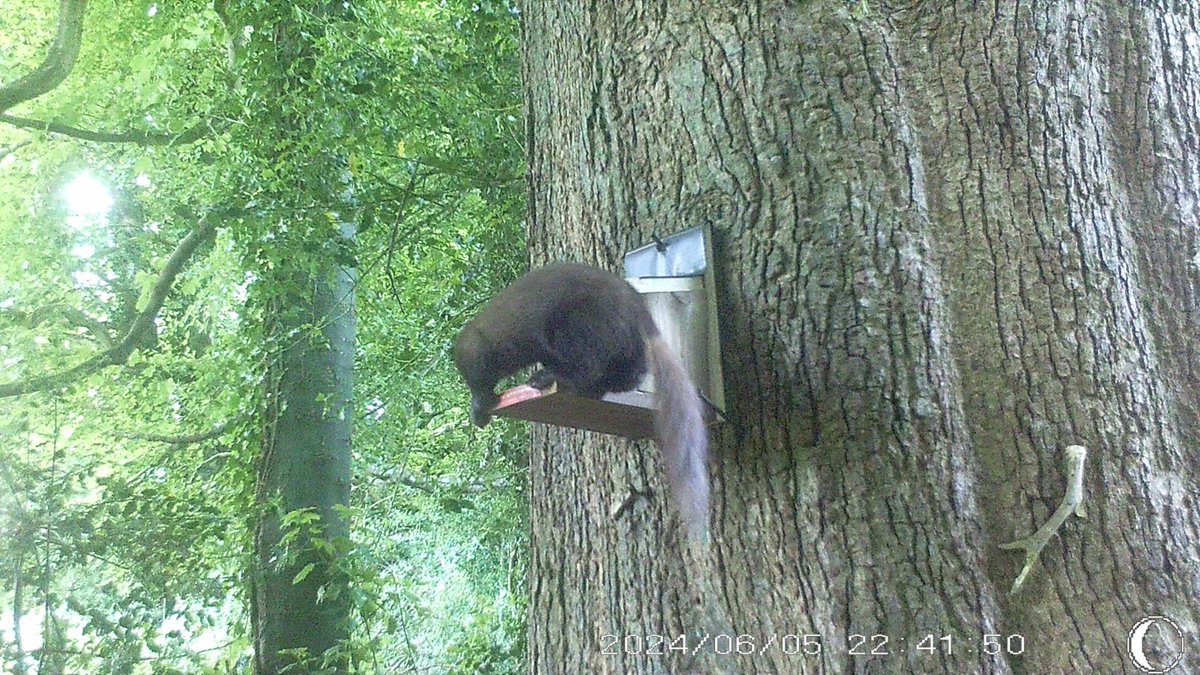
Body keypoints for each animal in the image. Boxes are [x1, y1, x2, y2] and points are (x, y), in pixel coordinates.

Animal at [453, 262, 709, 542]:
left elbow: (483, 386)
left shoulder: (493, 351)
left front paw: (481, 408)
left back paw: (547, 377)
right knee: (627, 373)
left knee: (590, 365)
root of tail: (637, 307)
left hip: (575, 325)